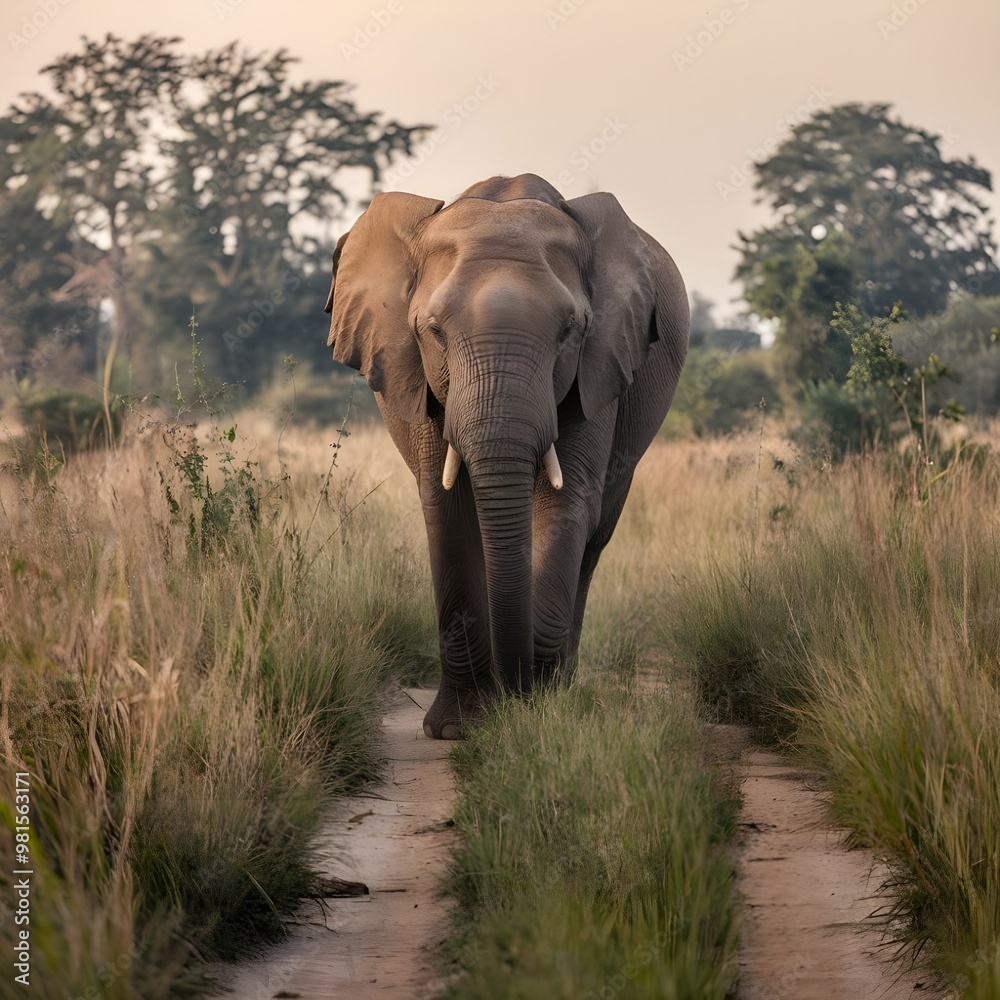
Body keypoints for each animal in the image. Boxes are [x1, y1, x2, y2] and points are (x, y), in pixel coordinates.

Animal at [324, 173, 689, 739]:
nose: (517, 698)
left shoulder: (599, 364)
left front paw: (539, 710)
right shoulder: (418, 375)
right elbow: (447, 509)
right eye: (433, 331)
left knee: (594, 538)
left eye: (570, 331)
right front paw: (459, 729)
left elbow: (563, 504)